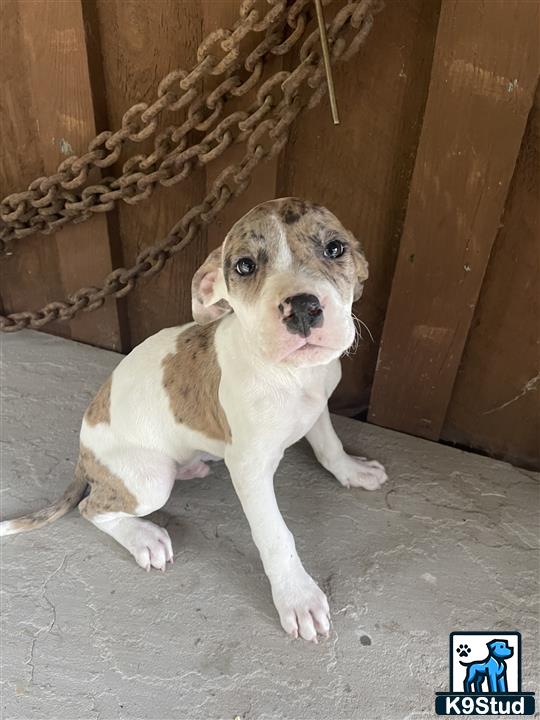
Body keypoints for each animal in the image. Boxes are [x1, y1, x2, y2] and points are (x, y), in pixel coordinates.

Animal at [1, 197, 388, 640]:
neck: (292, 375)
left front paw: (352, 470)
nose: (303, 309)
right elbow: (274, 535)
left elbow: (329, 446)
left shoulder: (318, 407)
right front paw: (297, 597)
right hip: (150, 481)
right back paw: (143, 537)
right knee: (91, 508)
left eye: (335, 248)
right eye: (244, 266)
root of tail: (83, 451)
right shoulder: (249, 469)